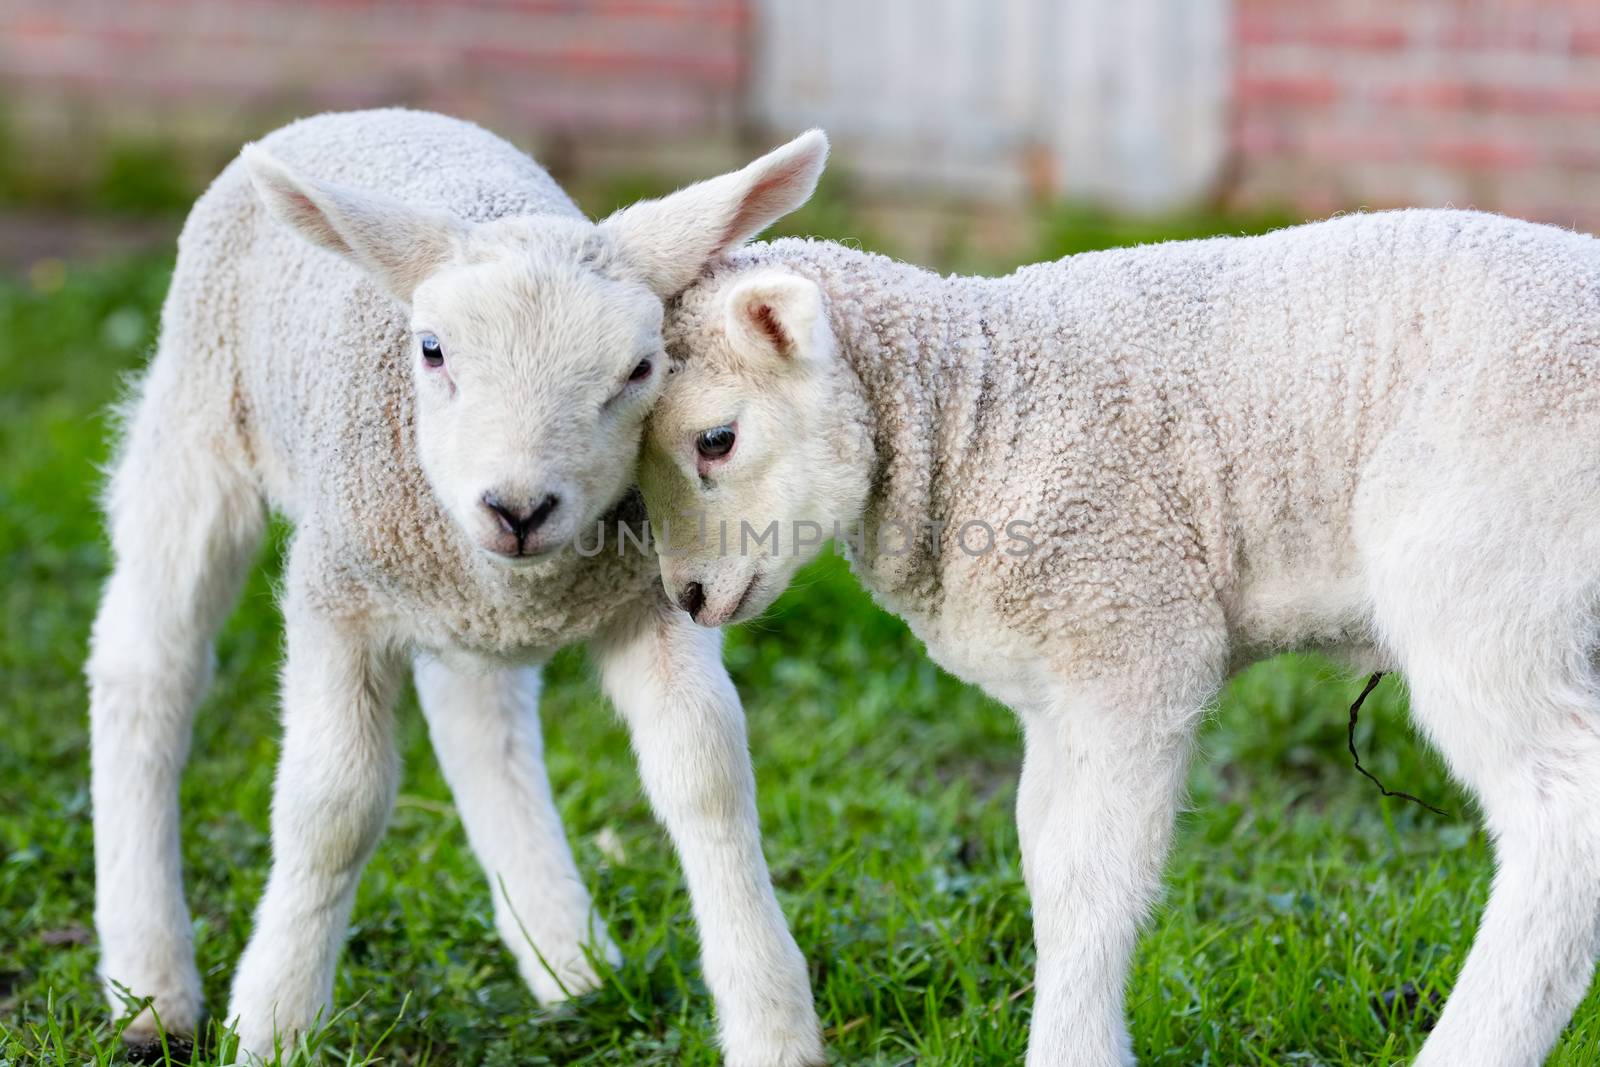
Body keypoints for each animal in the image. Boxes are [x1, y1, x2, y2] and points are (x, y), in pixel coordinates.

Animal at [87, 103, 832, 1062]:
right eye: (432, 350)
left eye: (641, 368)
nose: (518, 507)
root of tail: (366, 110)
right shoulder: (338, 592)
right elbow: (334, 803)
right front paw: (275, 1022)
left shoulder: (648, 596)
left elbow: (706, 772)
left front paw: (772, 1023)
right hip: (198, 417)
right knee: (148, 665)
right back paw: (148, 985)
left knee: (479, 722)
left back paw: (565, 956)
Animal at [643, 211, 1600, 1067]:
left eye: (717, 439)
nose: (687, 596)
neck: (975, 407)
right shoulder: (1054, 689)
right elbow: (1043, 861)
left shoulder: (1134, 639)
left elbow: (1091, 883)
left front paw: (1072, 1052)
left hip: (1484, 569)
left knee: (1565, 808)